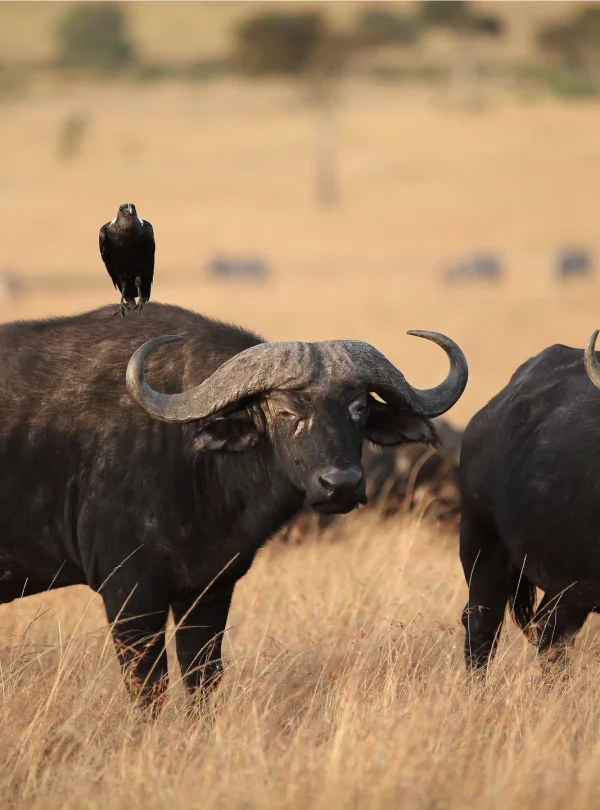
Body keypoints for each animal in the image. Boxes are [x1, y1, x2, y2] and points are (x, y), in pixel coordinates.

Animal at [0, 303, 467, 706]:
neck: (189, 459)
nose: (342, 485)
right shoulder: (129, 594)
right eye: (283, 411)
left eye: (360, 407)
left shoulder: (209, 591)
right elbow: (149, 690)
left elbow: (203, 680)